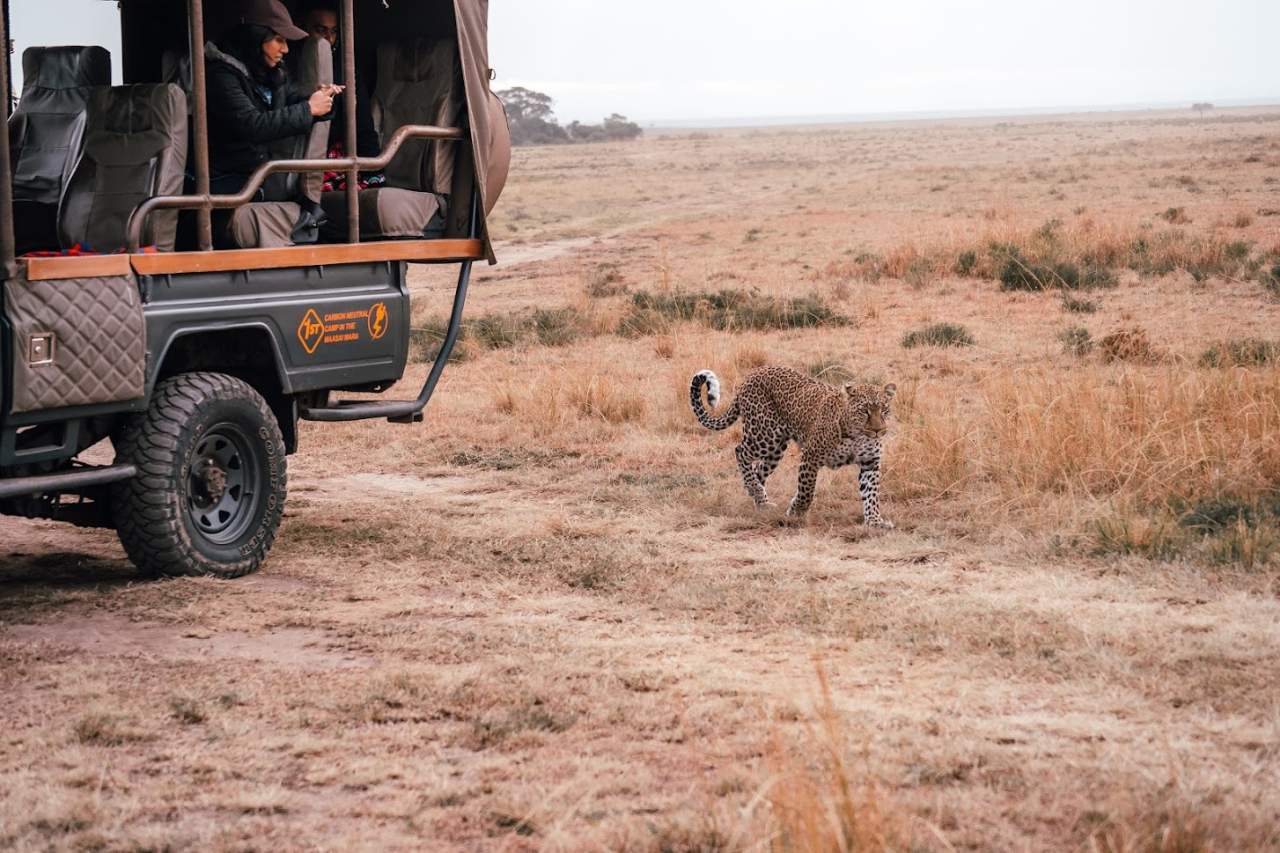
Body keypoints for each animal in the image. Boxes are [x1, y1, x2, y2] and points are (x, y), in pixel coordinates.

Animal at [691, 366, 901, 525]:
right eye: (865, 411)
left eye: (884, 410)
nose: (878, 431)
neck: (857, 435)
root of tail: (752, 375)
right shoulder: (811, 456)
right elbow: (807, 490)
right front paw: (796, 511)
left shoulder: (870, 462)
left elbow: (871, 494)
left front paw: (875, 521)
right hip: (764, 436)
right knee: (740, 451)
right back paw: (757, 492)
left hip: (776, 449)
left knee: (757, 469)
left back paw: (760, 500)